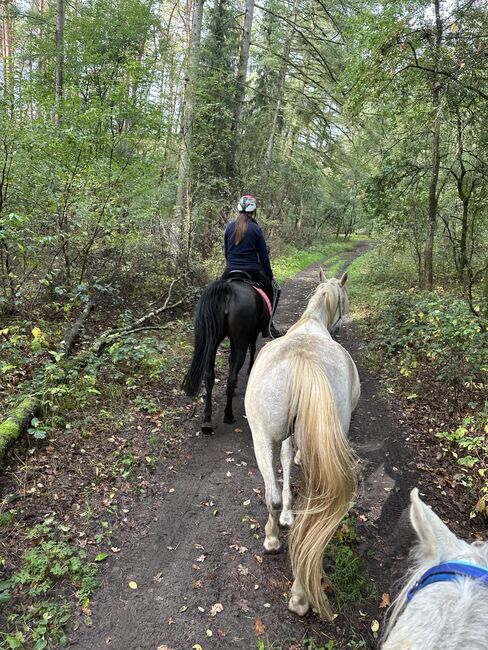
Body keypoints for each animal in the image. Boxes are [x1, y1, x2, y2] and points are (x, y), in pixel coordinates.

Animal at [182, 275, 271, 433]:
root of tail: (227, 289)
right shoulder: (251, 335)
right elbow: (253, 349)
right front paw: (250, 368)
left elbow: (230, 359)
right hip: (240, 341)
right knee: (231, 378)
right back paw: (228, 415)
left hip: (212, 343)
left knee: (209, 377)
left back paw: (207, 420)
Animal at [244, 270, 360, 619]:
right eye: (345, 299)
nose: (340, 328)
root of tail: (303, 361)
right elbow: (289, 459)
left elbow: (283, 461)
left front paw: (285, 516)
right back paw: (299, 594)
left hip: (260, 437)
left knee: (270, 494)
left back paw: (273, 541)